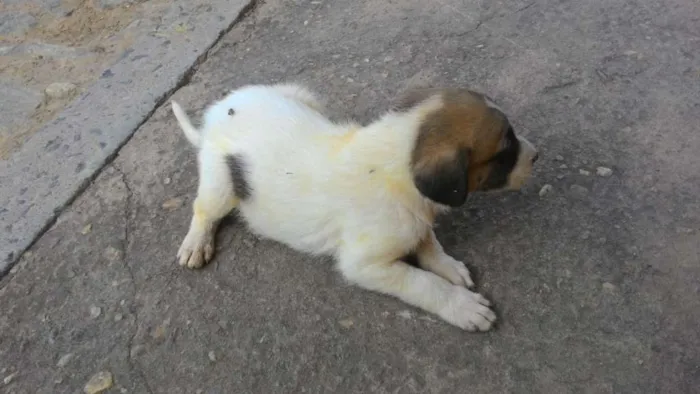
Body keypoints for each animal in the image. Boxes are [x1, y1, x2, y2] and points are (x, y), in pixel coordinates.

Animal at [172, 84, 540, 332]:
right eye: (505, 151)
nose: (536, 156)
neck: (395, 162)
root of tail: (214, 116)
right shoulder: (364, 264)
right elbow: (423, 282)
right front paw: (462, 306)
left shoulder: (414, 219)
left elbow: (427, 241)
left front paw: (447, 265)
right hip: (220, 183)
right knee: (203, 209)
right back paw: (196, 243)